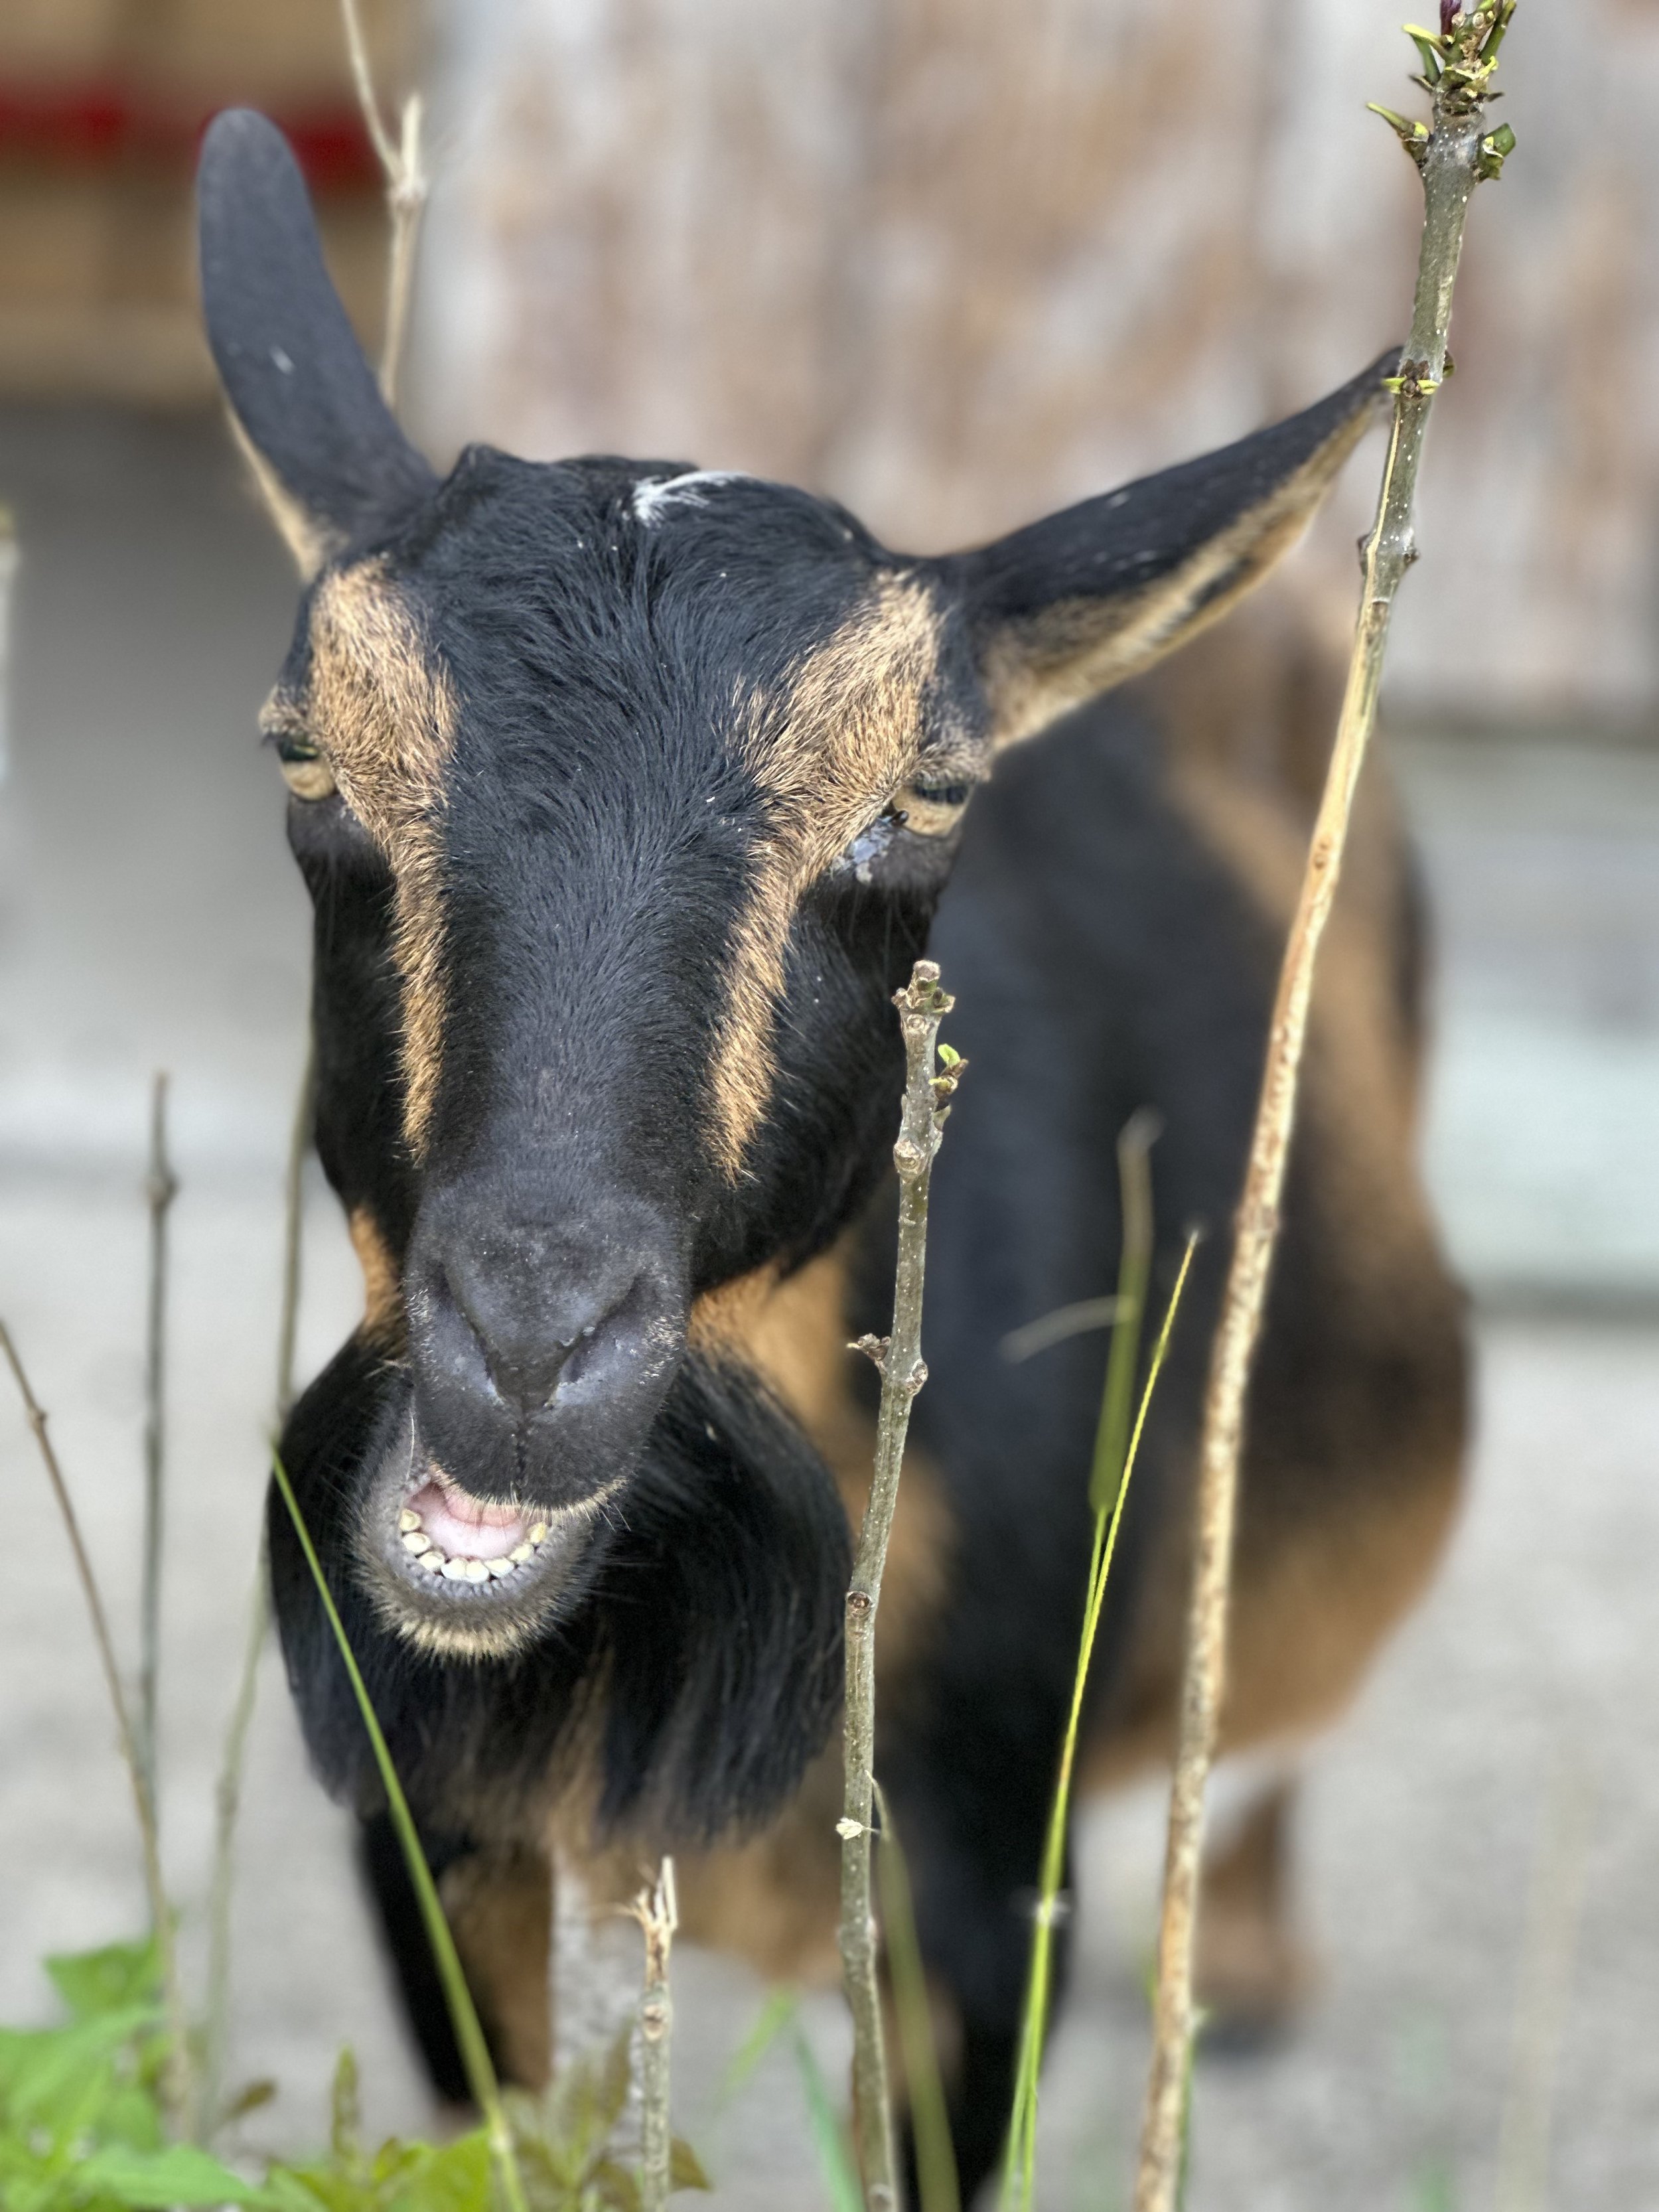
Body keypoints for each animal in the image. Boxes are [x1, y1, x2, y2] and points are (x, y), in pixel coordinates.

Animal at [197, 110, 1467, 2199]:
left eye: (920, 798)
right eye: (304, 750)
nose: (527, 1347)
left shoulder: (987, 1891)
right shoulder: (446, 1860)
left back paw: (1258, 1952)